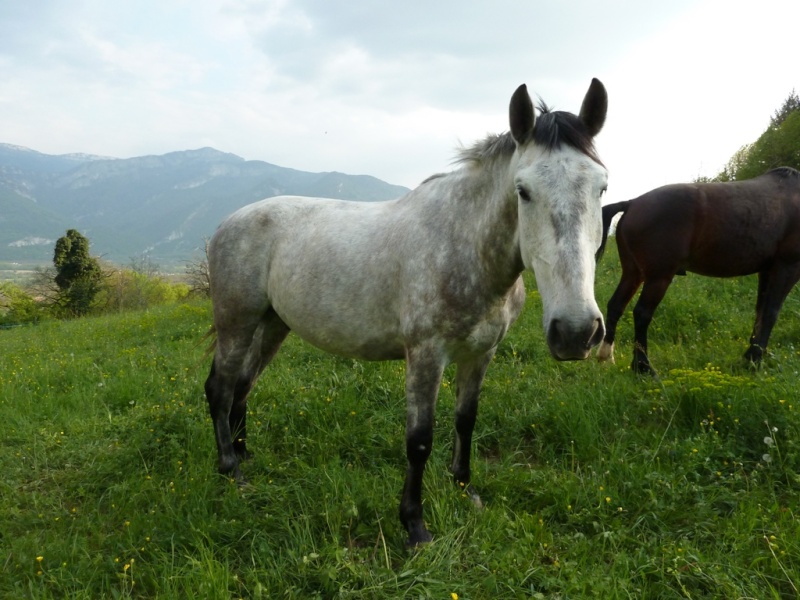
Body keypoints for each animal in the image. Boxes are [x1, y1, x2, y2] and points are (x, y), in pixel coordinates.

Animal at [203, 77, 608, 548]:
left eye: (601, 187)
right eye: (523, 191)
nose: (576, 332)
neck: (463, 244)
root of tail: (226, 223)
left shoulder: (481, 354)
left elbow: (466, 420)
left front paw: (464, 487)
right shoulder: (426, 355)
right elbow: (419, 440)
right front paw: (415, 526)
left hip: (272, 324)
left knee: (244, 385)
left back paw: (245, 454)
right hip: (237, 322)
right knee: (220, 388)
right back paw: (230, 469)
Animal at [596, 166, 800, 372]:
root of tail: (632, 203)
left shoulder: (766, 271)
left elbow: (760, 312)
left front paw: (751, 355)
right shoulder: (787, 268)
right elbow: (770, 313)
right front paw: (755, 359)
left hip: (633, 273)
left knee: (616, 306)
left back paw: (607, 357)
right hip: (658, 277)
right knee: (642, 313)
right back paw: (643, 366)